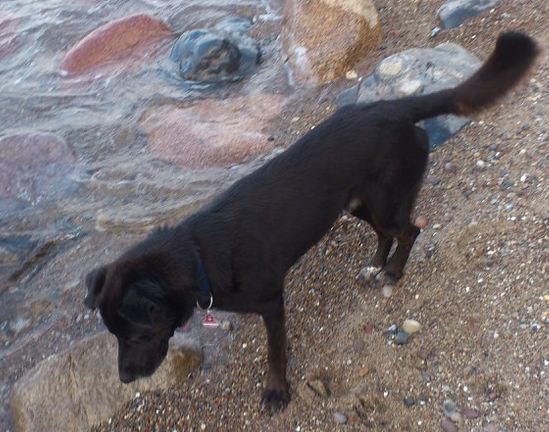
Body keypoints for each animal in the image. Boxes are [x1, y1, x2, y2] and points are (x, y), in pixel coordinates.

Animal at [84, 32, 538, 412]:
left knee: (409, 229)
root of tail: (394, 106)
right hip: (352, 204)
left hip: (386, 201)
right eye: (114, 336)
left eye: (138, 335)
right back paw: (375, 266)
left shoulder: (272, 304)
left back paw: (392, 271)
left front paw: (276, 391)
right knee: (384, 233)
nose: (124, 379)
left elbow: (276, 353)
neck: (198, 256)